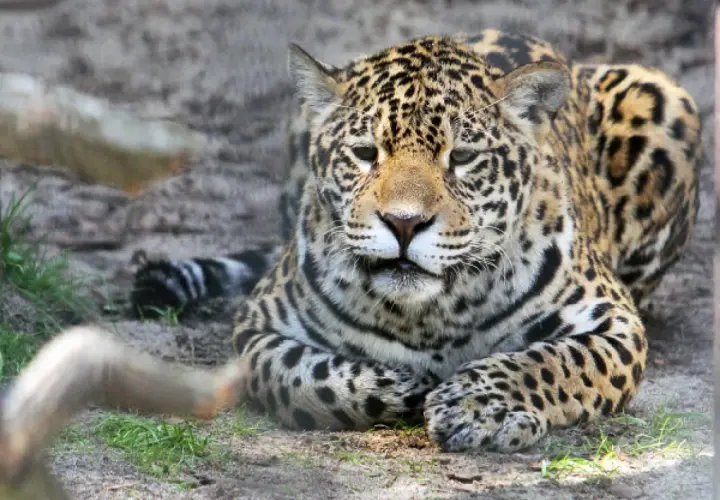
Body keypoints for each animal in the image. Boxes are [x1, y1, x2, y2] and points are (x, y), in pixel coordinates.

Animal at [127, 28, 701, 453]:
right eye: (364, 152)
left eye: (463, 157)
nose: (404, 224)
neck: (429, 316)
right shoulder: (258, 326)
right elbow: (304, 375)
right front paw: (405, 386)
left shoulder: (615, 323)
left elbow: (552, 362)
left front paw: (476, 406)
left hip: (665, 98)